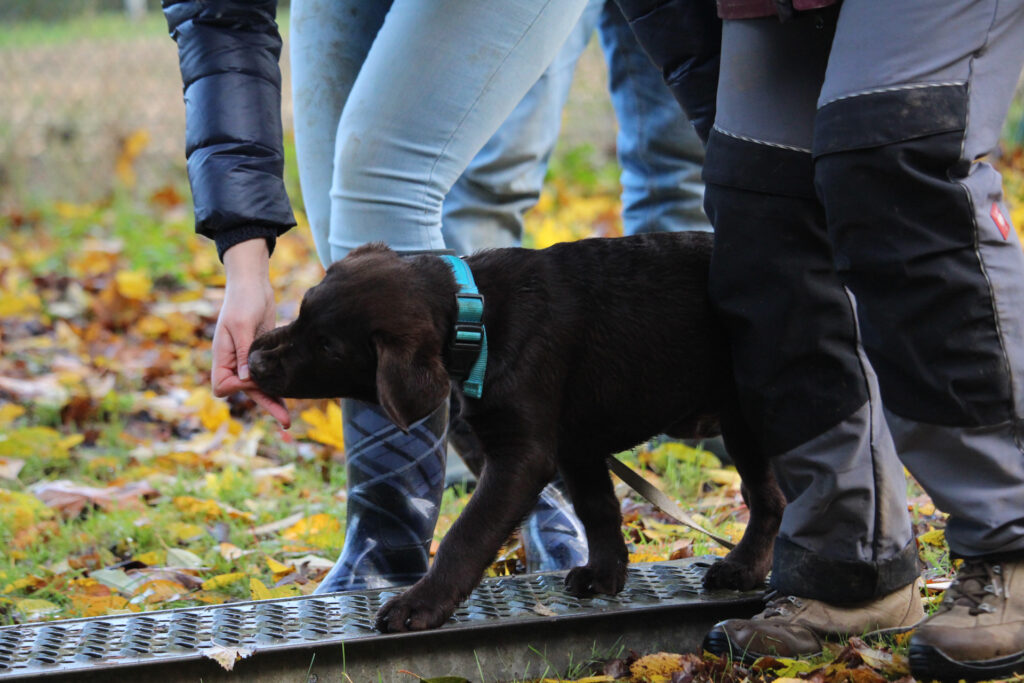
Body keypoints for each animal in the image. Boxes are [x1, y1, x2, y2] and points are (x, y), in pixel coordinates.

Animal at [247, 232, 782, 634]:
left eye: (328, 347)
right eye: (302, 310)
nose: (253, 360)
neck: (476, 316)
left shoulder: (522, 455)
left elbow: (468, 534)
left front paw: (420, 604)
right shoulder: (577, 445)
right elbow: (598, 509)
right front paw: (605, 574)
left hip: (749, 416)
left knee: (769, 499)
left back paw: (745, 568)